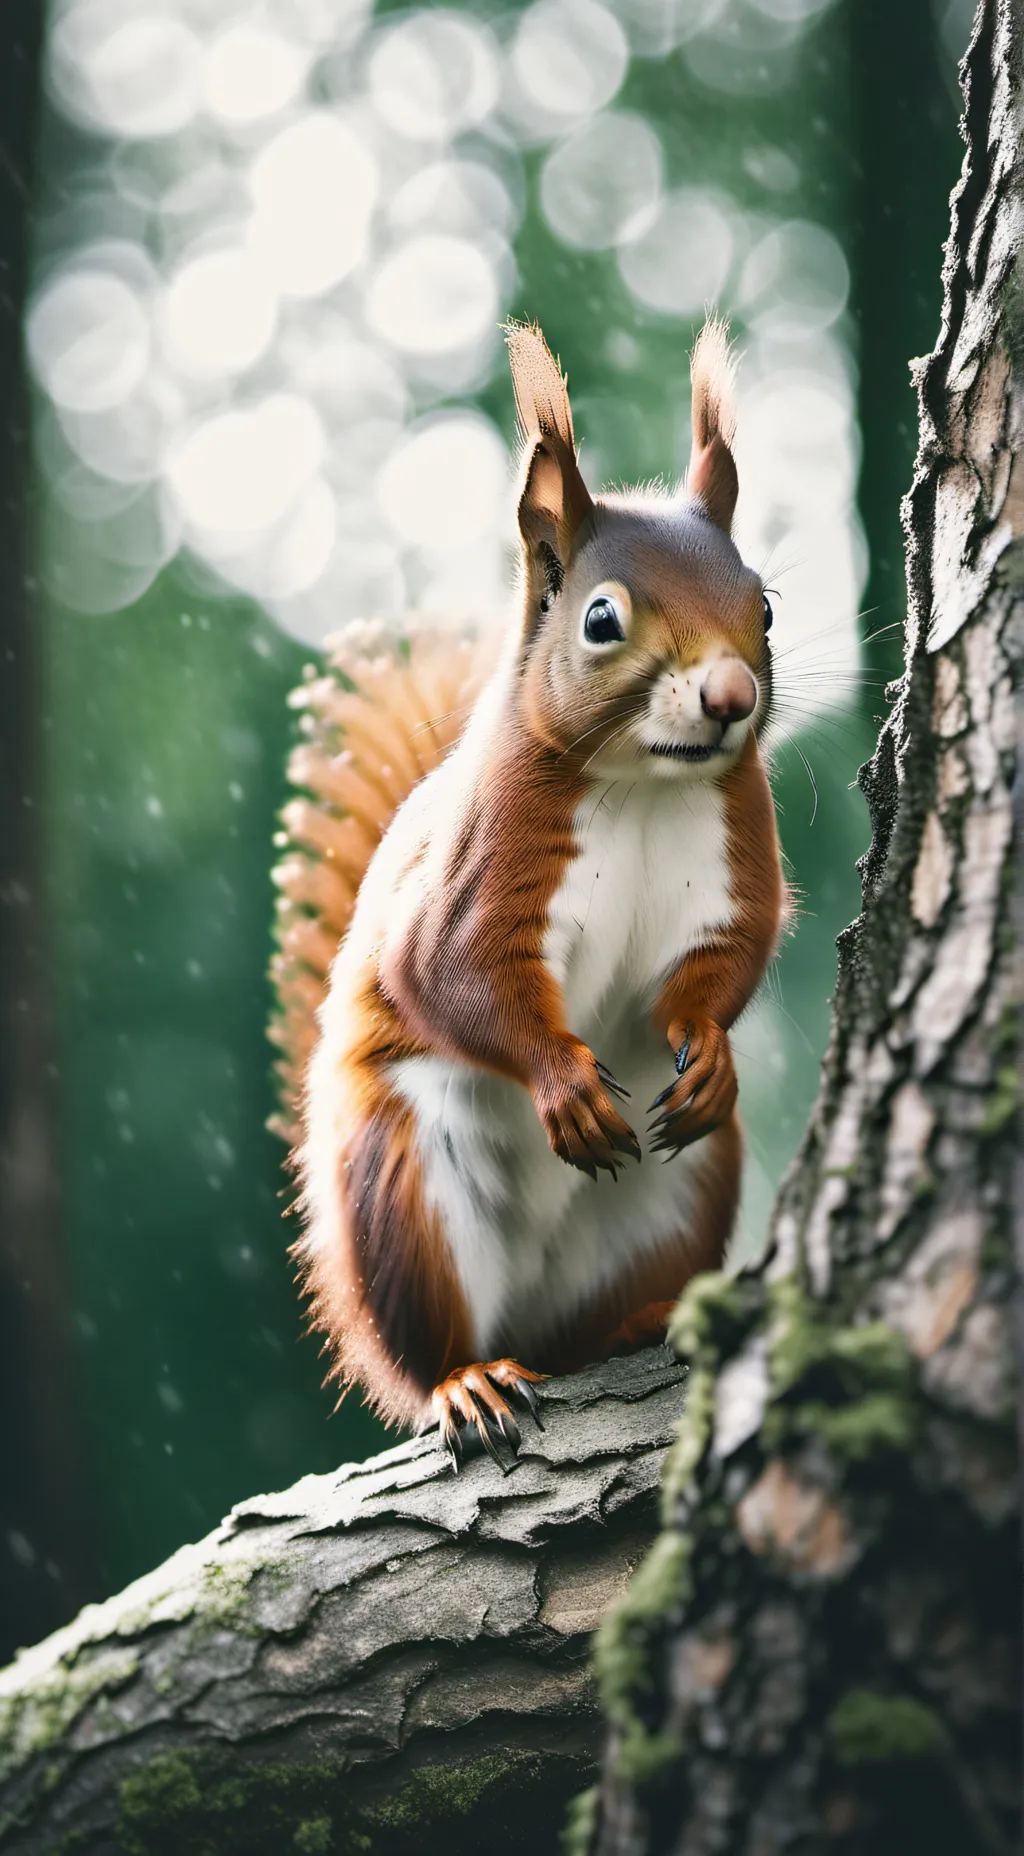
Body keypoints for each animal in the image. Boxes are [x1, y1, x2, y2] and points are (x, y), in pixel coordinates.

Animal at [272, 316, 785, 1464]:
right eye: (600, 621)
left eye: (766, 606)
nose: (733, 696)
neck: (642, 784)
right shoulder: (481, 866)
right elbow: (452, 975)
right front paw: (562, 1083)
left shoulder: (738, 859)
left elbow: (732, 960)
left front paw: (710, 1049)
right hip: (407, 1190)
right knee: (426, 1353)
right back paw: (466, 1380)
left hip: (685, 1191)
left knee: (596, 1319)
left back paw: (649, 1317)